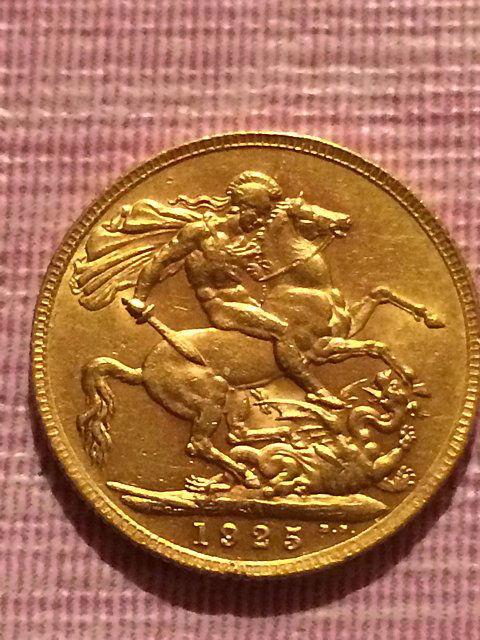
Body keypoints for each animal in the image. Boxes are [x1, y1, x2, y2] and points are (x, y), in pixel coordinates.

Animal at [77, 196, 444, 488]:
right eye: (306, 211)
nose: (344, 220)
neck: (303, 286)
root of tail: (141, 370)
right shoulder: (322, 350)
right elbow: (377, 347)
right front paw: (337, 397)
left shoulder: (346, 328)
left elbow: (380, 294)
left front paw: (430, 320)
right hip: (210, 397)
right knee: (199, 444)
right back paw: (249, 473)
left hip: (235, 395)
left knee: (235, 433)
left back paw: (279, 437)